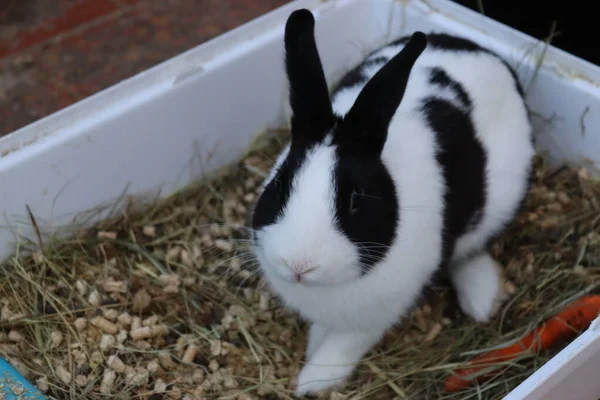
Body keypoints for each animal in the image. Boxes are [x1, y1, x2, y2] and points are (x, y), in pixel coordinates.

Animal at [248, 7, 536, 396]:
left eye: (356, 199)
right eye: (279, 184)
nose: (299, 265)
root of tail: (474, 45)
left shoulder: (376, 315)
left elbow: (344, 345)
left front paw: (313, 380)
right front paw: (313, 347)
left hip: (498, 204)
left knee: (471, 249)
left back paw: (482, 300)